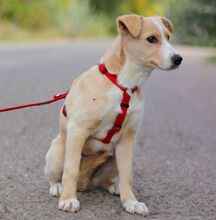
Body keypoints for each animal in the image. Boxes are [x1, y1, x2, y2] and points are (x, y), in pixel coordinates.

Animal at [44, 14, 182, 217]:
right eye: (151, 39)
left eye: (168, 37)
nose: (178, 59)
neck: (124, 84)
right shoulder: (78, 130)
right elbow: (71, 170)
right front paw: (68, 199)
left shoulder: (127, 138)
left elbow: (127, 176)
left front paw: (131, 202)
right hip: (58, 151)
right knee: (57, 175)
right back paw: (57, 187)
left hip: (114, 156)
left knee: (103, 181)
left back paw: (114, 187)